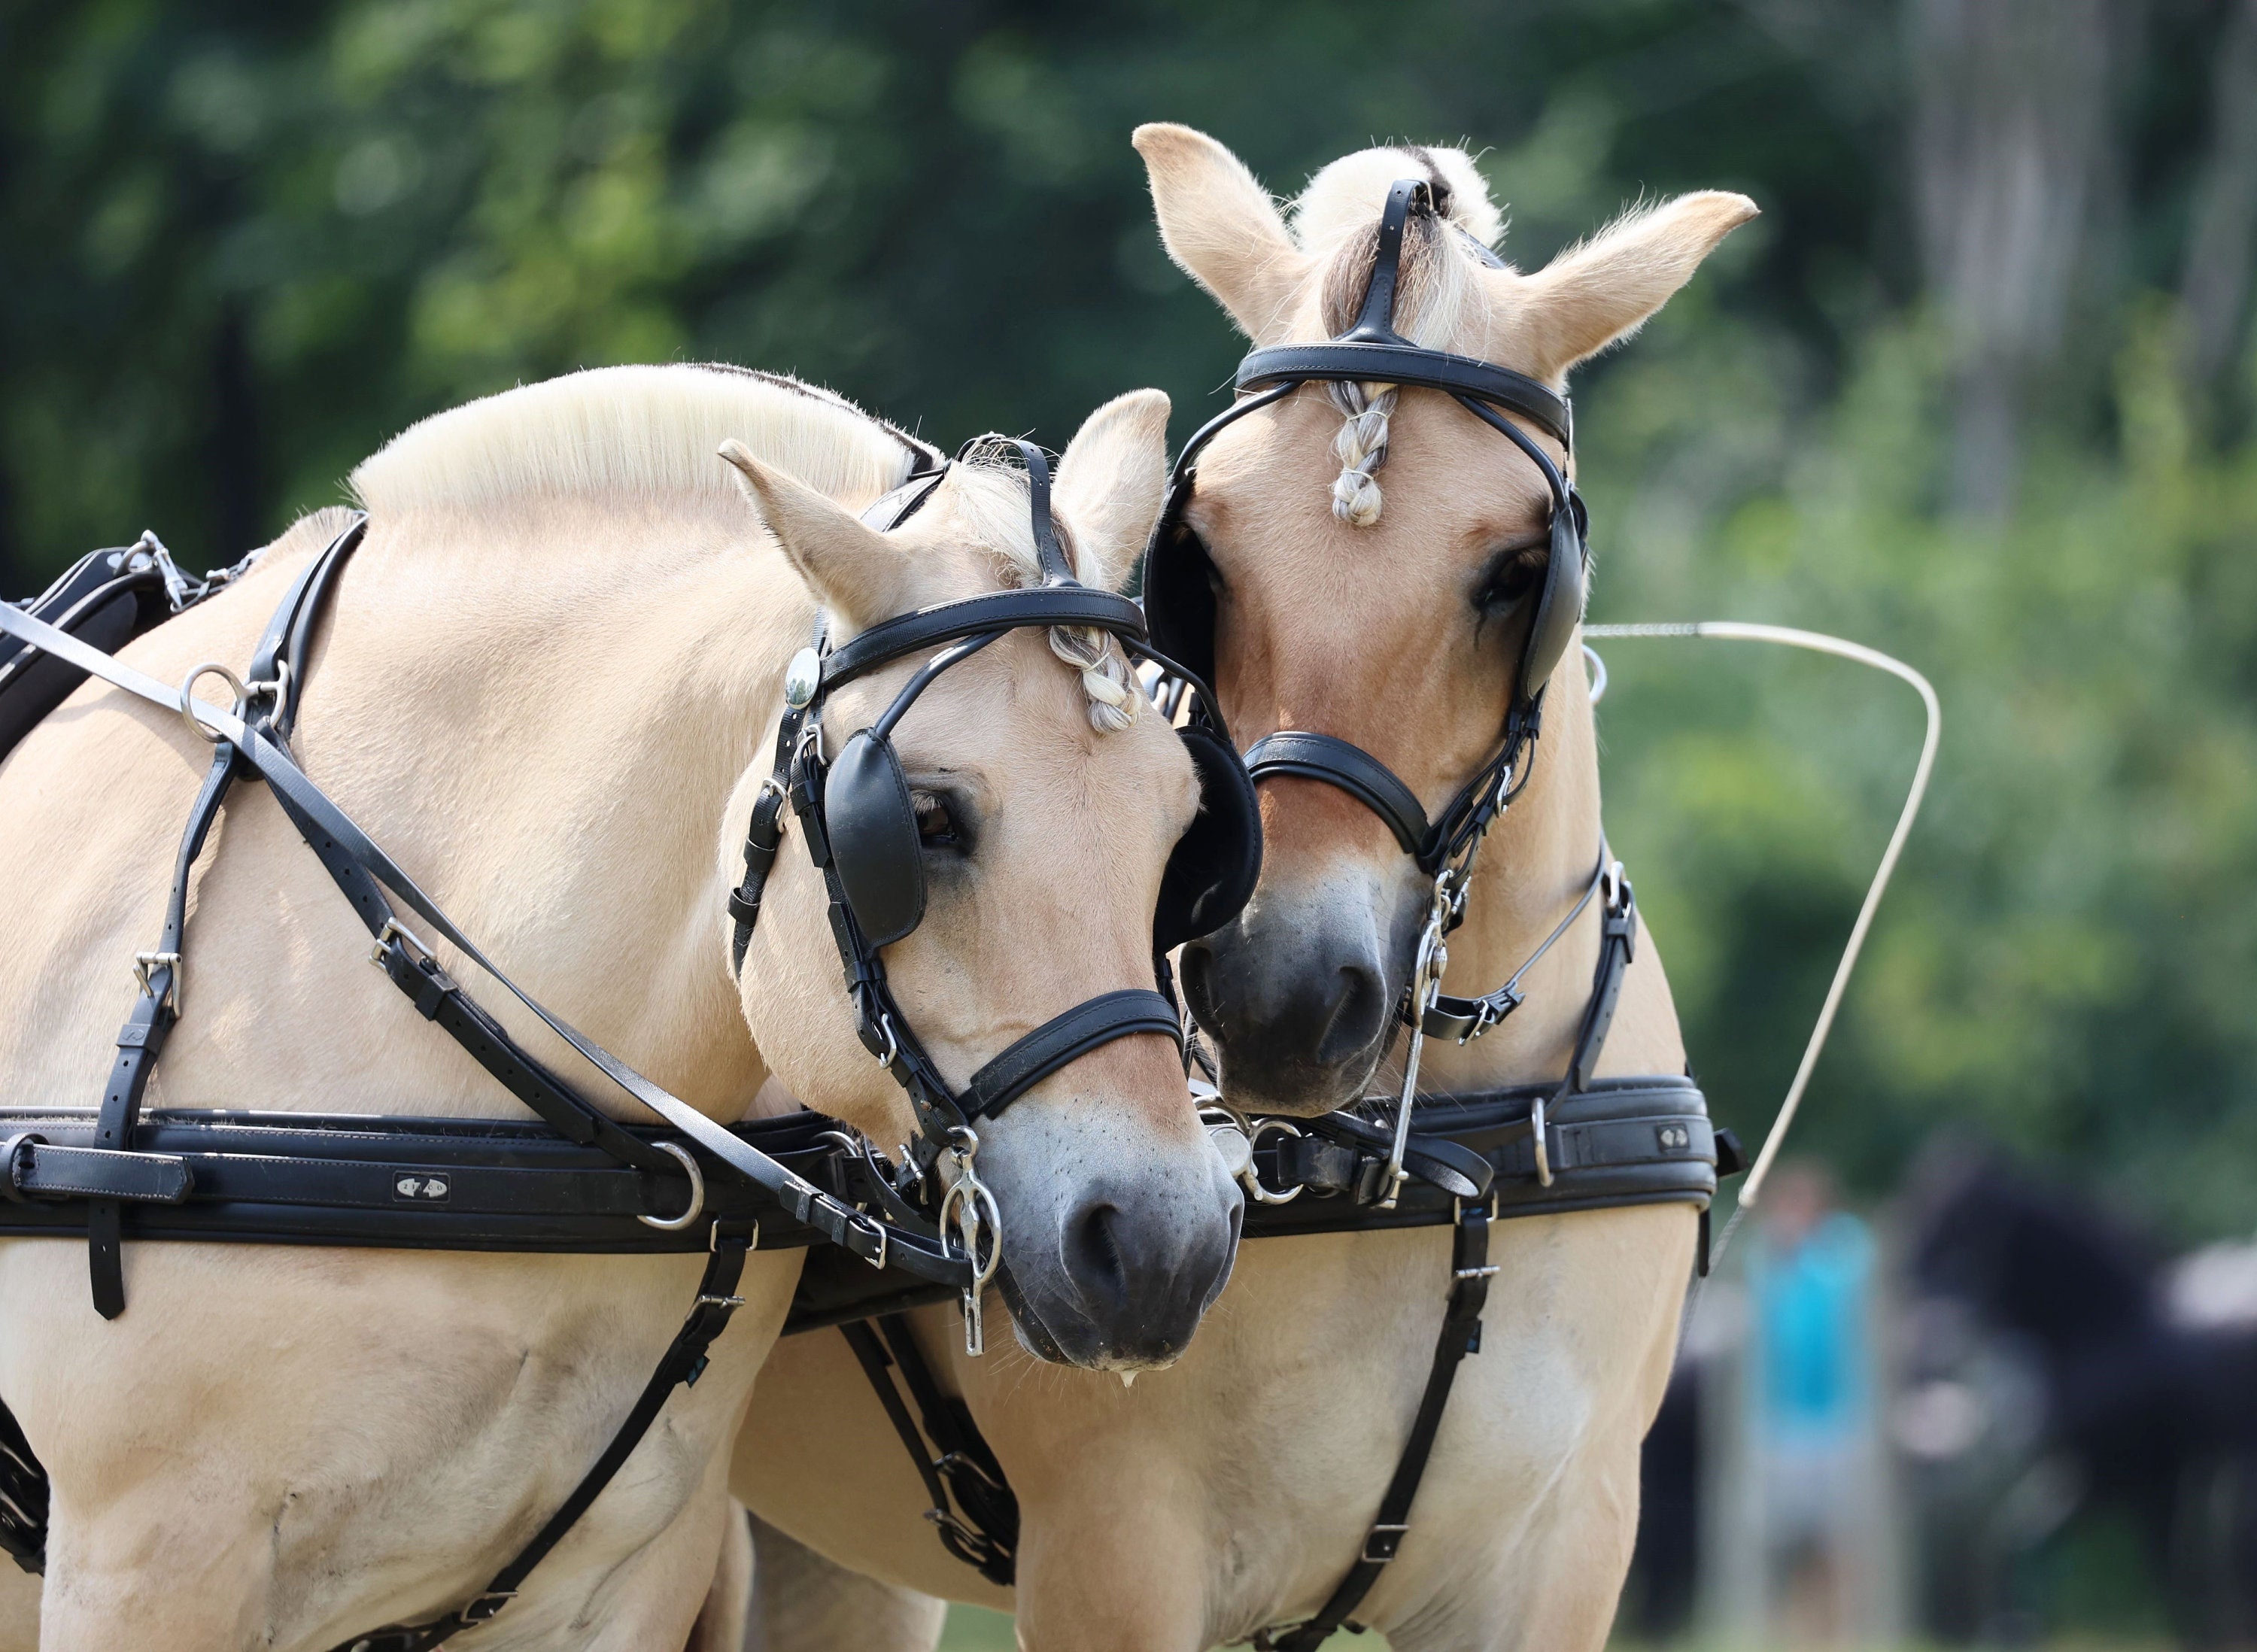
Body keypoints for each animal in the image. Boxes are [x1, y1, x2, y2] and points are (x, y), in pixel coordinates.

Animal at [726, 129, 1757, 1651]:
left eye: (1520, 574)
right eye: (1198, 550)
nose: (1275, 992)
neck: (1407, 1162)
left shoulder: (1562, 1553)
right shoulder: (1119, 1553)